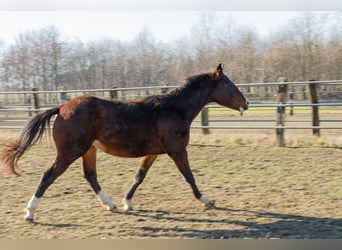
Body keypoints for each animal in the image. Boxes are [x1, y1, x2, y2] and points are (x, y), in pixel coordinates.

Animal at [0, 63, 248, 222]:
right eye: (230, 85)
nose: (245, 102)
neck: (174, 110)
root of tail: (60, 108)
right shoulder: (177, 151)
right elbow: (190, 176)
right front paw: (207, 201)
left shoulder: (153, 152)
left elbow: (139, 176)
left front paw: (128, 202)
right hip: (70, 152)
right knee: (48, 176)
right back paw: (30, 212)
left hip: (88, 150)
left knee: (90, 176)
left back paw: (110, 205)